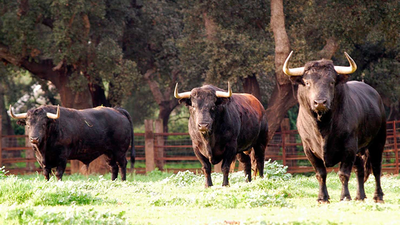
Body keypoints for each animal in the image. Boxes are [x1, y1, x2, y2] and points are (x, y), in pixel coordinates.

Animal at [282, 51, 386, 203]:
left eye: (331, 82)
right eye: (307, 83)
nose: (320, 102)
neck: (323, 127)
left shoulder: (349, 146)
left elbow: (343, 174)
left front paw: (345, 196)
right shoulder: (308, 149)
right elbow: (320, 174)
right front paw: (322, 198)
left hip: (378, 141)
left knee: (376, 168)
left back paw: (378, 196)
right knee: (360, 169)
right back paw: (360, 196)